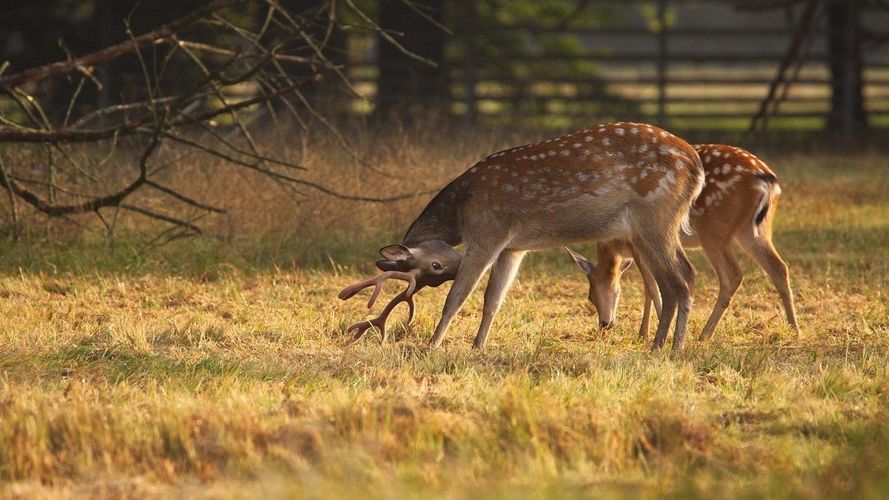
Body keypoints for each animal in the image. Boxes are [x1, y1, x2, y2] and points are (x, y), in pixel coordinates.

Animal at [336, 122, 704, 350]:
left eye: (436, 267)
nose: (451, 265)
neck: (462, 208)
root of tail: (695, 166)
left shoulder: (488, 230)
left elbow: (458, 296)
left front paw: (433, 344)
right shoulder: (513, 248)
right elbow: (493, 300)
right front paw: (478, 346)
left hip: (657, 217)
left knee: (686, 275)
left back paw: (676, 346)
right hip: (644, 232)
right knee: (668, 282)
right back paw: (658, 344)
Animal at [568, 144, 796, 340]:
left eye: (590, 296)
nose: (604, 325)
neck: (614, 244)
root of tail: (767, 179)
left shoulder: (637, 242)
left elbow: (650, 285)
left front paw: (650, 332)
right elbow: (650, 285)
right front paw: (647, 331)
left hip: (714, 230)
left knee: (733, 274)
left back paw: (704, 334)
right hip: (755, 229)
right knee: (779, 267)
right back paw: (795, 329)